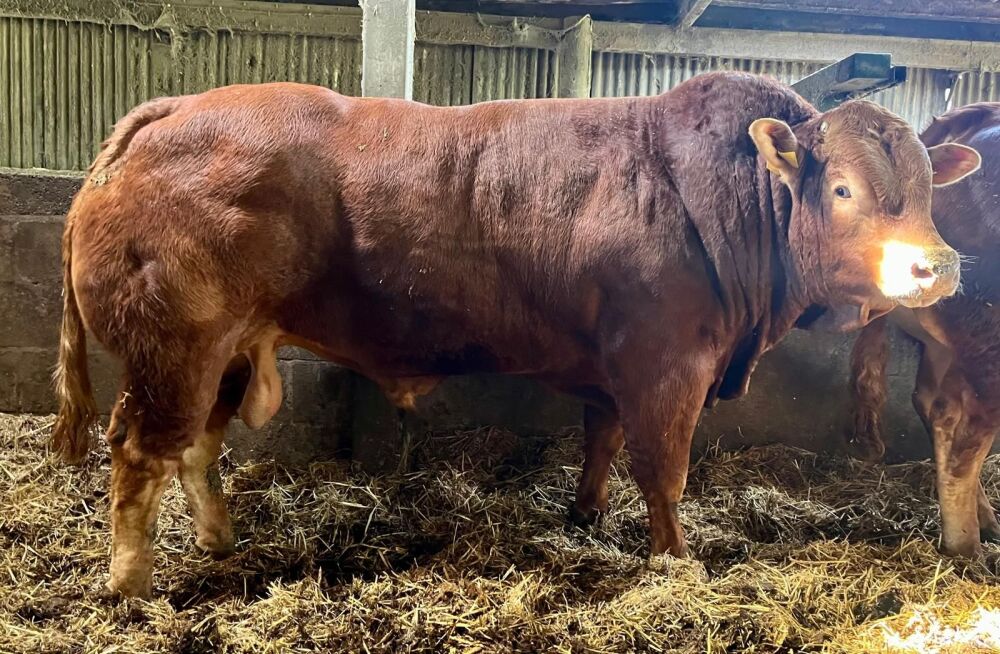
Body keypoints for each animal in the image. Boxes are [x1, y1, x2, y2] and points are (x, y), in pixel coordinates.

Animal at [51, 72, 979, 598]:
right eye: (845, 189)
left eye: (929, 185)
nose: (936, 266)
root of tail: (174, 112)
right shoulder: (667, 366)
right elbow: (665, 472)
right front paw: (675, 560)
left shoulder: (617, 370)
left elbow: (602, 444)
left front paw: (586, 515)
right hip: (175, 351)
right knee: (140, 452)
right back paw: (132, 583)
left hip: (228, 352)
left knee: (197, 449)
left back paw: (219, 539)